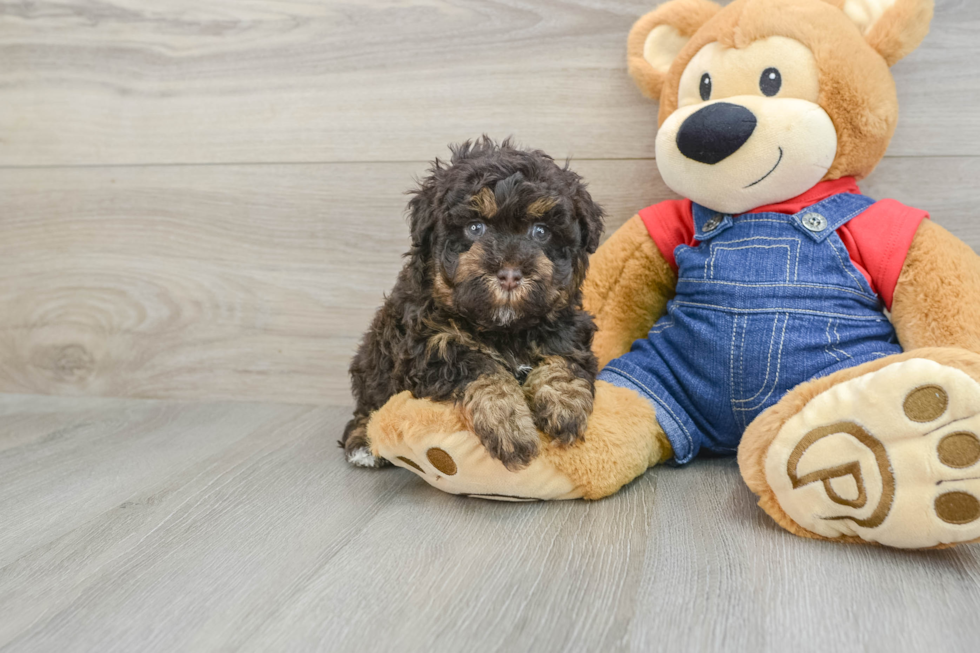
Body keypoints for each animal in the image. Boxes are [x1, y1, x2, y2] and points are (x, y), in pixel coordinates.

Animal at [344, 138, 604, 468]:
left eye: (541, 231)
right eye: (475, 228)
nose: (509, 274)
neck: (504, 328)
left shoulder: (567, 327)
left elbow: (562, 359)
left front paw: (564, 405)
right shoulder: (430, 345)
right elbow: (484, 370)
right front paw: (508, 425)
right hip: (373, 365)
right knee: (368, 405)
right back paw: (362, 443)